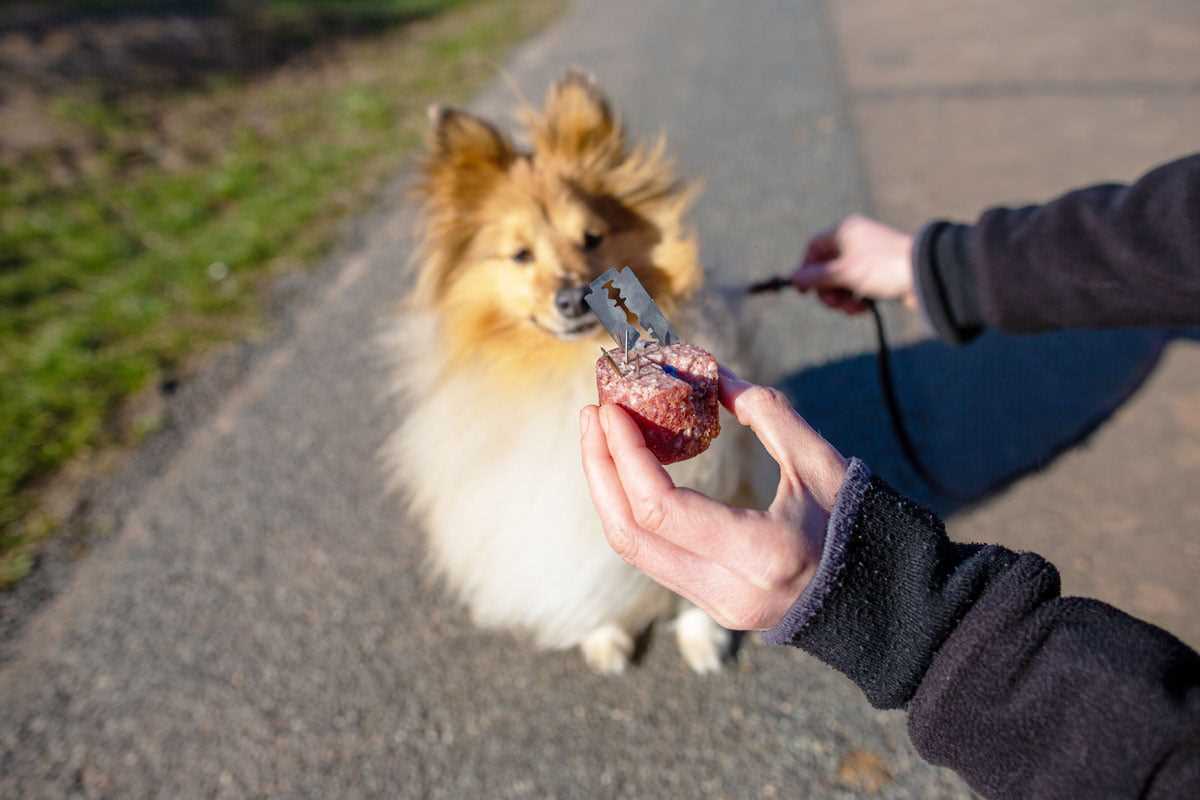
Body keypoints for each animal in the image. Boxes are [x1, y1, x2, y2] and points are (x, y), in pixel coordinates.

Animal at [388, 70, 772, 676]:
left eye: (592, 237)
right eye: (520, 255)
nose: (571, 299)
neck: (560, 366)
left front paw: (703, 638)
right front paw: (604, 638)